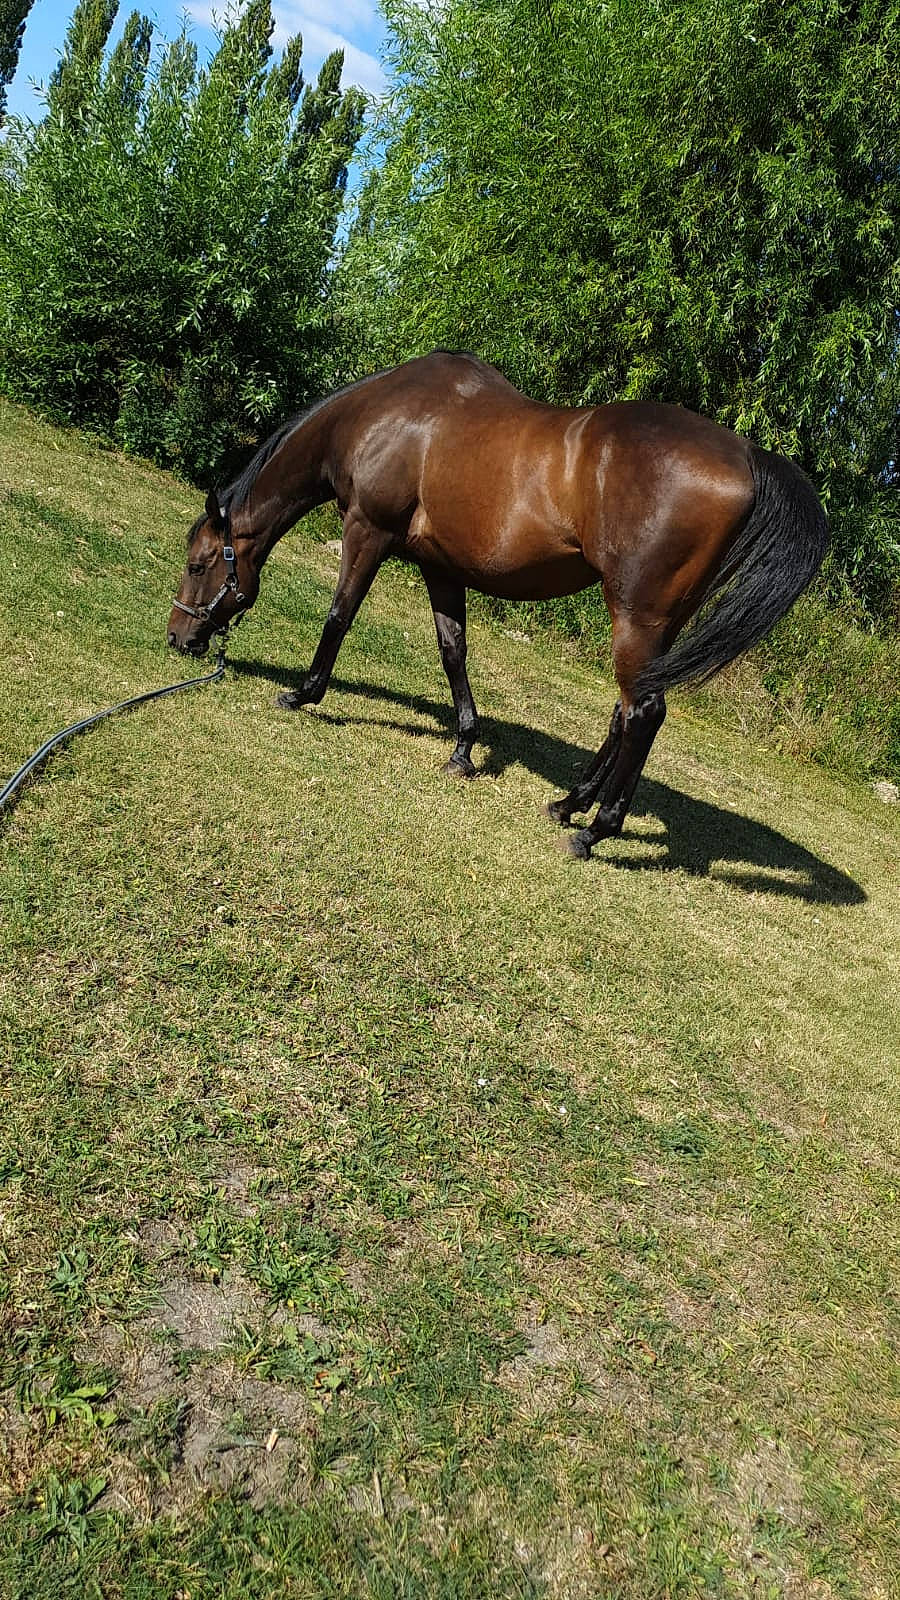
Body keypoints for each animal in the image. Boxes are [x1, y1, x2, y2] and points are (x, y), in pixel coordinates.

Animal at [168, 351, 827, 859]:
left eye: (199, 564)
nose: (180, 637)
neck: (381, 418)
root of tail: (747, 456)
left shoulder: (367, 532)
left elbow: (340, 615)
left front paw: (303, 694)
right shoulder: (439, 566)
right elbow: (452, 650)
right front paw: (463, 749)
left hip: (636, 616)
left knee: (643, 713)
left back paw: (594, 831)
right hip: (659, 623)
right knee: (625, 711)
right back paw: (567, 803)